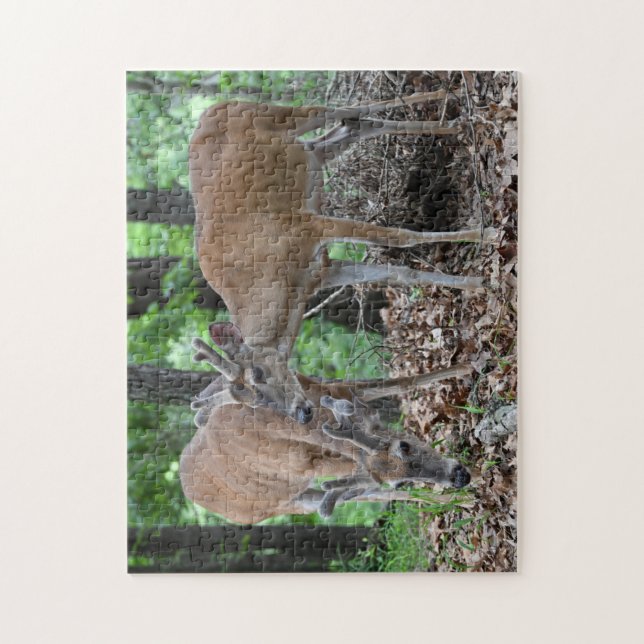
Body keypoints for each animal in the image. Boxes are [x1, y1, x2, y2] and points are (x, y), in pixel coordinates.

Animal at [180, 323, 472, 523]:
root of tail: (188, 490)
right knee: (346, 499)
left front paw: (470, 364)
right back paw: (464, 502)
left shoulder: (336, 389)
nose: (460, 476)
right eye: (403, 446)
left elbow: (403, 382)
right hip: (281, 504)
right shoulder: (319, 461)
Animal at [188, 89, 491, 426]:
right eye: (254, 403)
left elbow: (399, 237)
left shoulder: (304, 225)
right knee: (352, 128)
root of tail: (208, 111)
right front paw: (477, 282)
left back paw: (448, 104)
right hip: (312, 153)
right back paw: (452, 121)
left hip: (274, 114)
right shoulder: (322, 271)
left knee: (340, 110)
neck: (279, 284)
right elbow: (400, 273)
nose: (302, 413)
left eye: (258, 373)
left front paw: (486, 234)